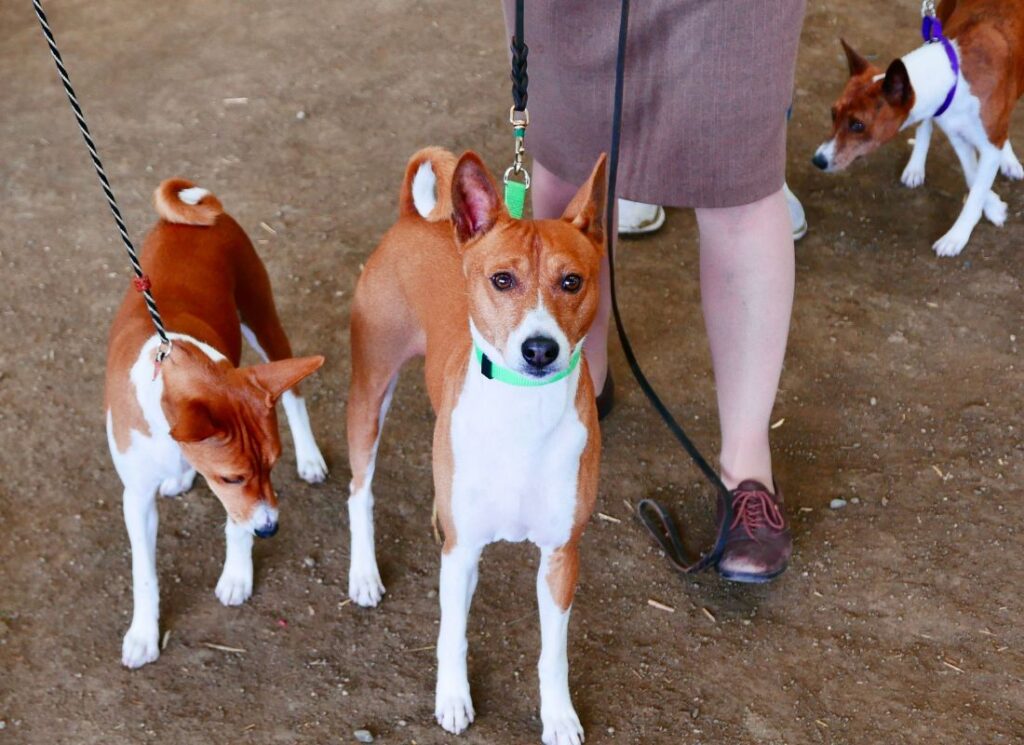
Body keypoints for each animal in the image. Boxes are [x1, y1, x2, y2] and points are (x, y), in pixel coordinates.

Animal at [107, 180, 323, 671]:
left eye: (273, 465)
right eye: (232, 476)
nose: (271, 530)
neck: (175, 360)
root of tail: (194, 214)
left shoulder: (247, 497)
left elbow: (235, 525)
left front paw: (237, 575)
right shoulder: (137, 497)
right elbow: (144, 574)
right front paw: (143, 635)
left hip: (263, 320)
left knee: (295, 397)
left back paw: (311, 458)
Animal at [350, 148, 606, 740]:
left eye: (572, 281)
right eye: (502, 280)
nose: (540, 349)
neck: (524, 414)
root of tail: (412, 219)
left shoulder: (561, 555)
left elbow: (553, 654)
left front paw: (559, 716)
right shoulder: (461, 550)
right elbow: (452, 633)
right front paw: (452, 698)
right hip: (369, 393)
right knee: (359, 490)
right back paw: (364, 574)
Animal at [815, 0, 1024, 255]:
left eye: (858, 124)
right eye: (833, 113)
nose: (818, 160)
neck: (954, 78)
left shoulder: (987, 141)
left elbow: (977, 188)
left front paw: (956, 236)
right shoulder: (956, 133)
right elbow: (973, 176)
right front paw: (992, 204)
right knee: (926, 126)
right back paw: (915, 167)